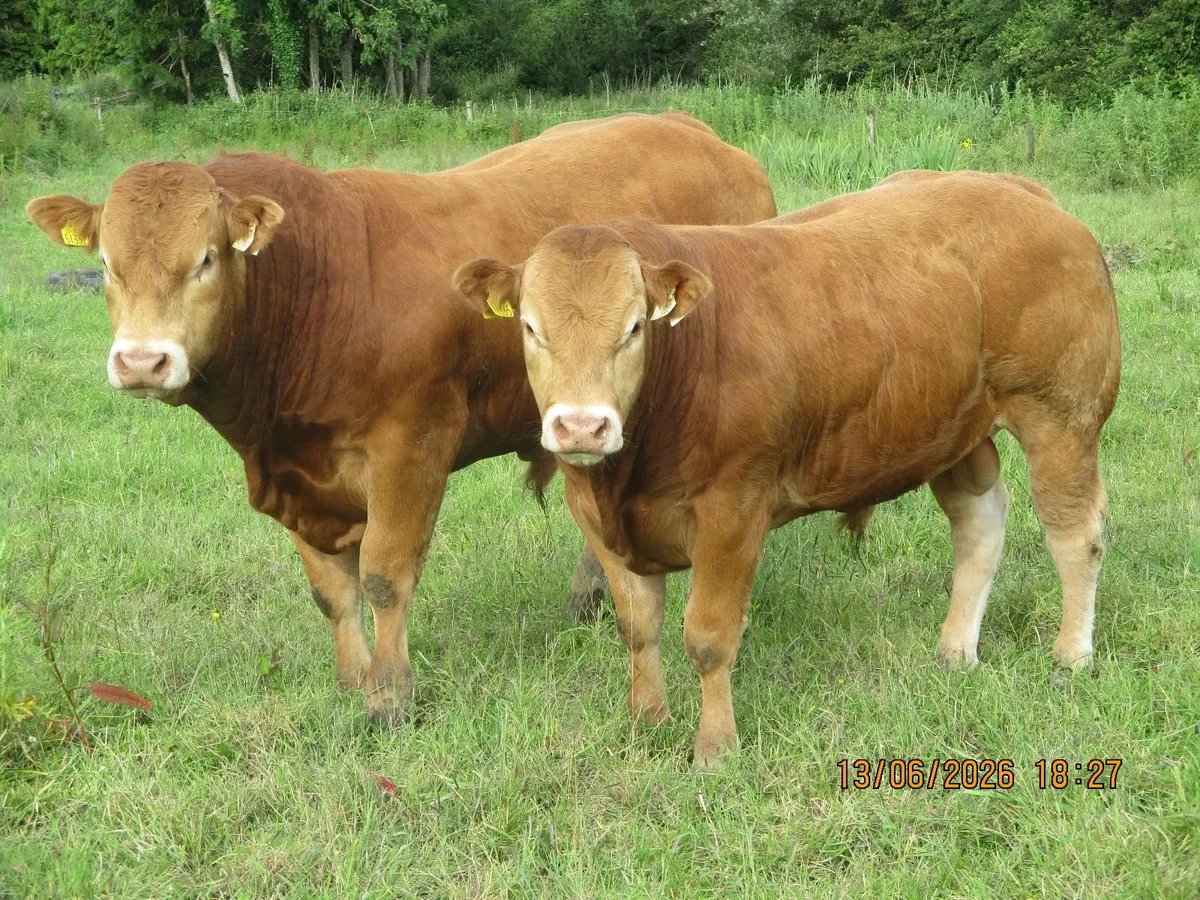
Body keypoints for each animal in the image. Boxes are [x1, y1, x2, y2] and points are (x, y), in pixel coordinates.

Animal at [25, 112, 777, 724]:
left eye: (206, 259)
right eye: (106, 264)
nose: (142, 361)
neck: (324, 288)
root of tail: (698, 132)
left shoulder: (409, 450)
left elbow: (385, 575)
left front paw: (390, 695)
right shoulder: (299, 478)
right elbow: (332, 591)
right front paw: (352, 681)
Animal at [454, 170, 1121, 765]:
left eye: (635, 327)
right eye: (530, 326)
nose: (581, 426)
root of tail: (1022, 190)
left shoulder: (733, 509)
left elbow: (709, 637)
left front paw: (715, 749)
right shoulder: (597, 517)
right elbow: (637, 626)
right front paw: (648, 723)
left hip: (1062, 415)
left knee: (1075, 535)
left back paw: (1071, 656)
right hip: (954, 429)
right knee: (980, 524)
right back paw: (957, 651)